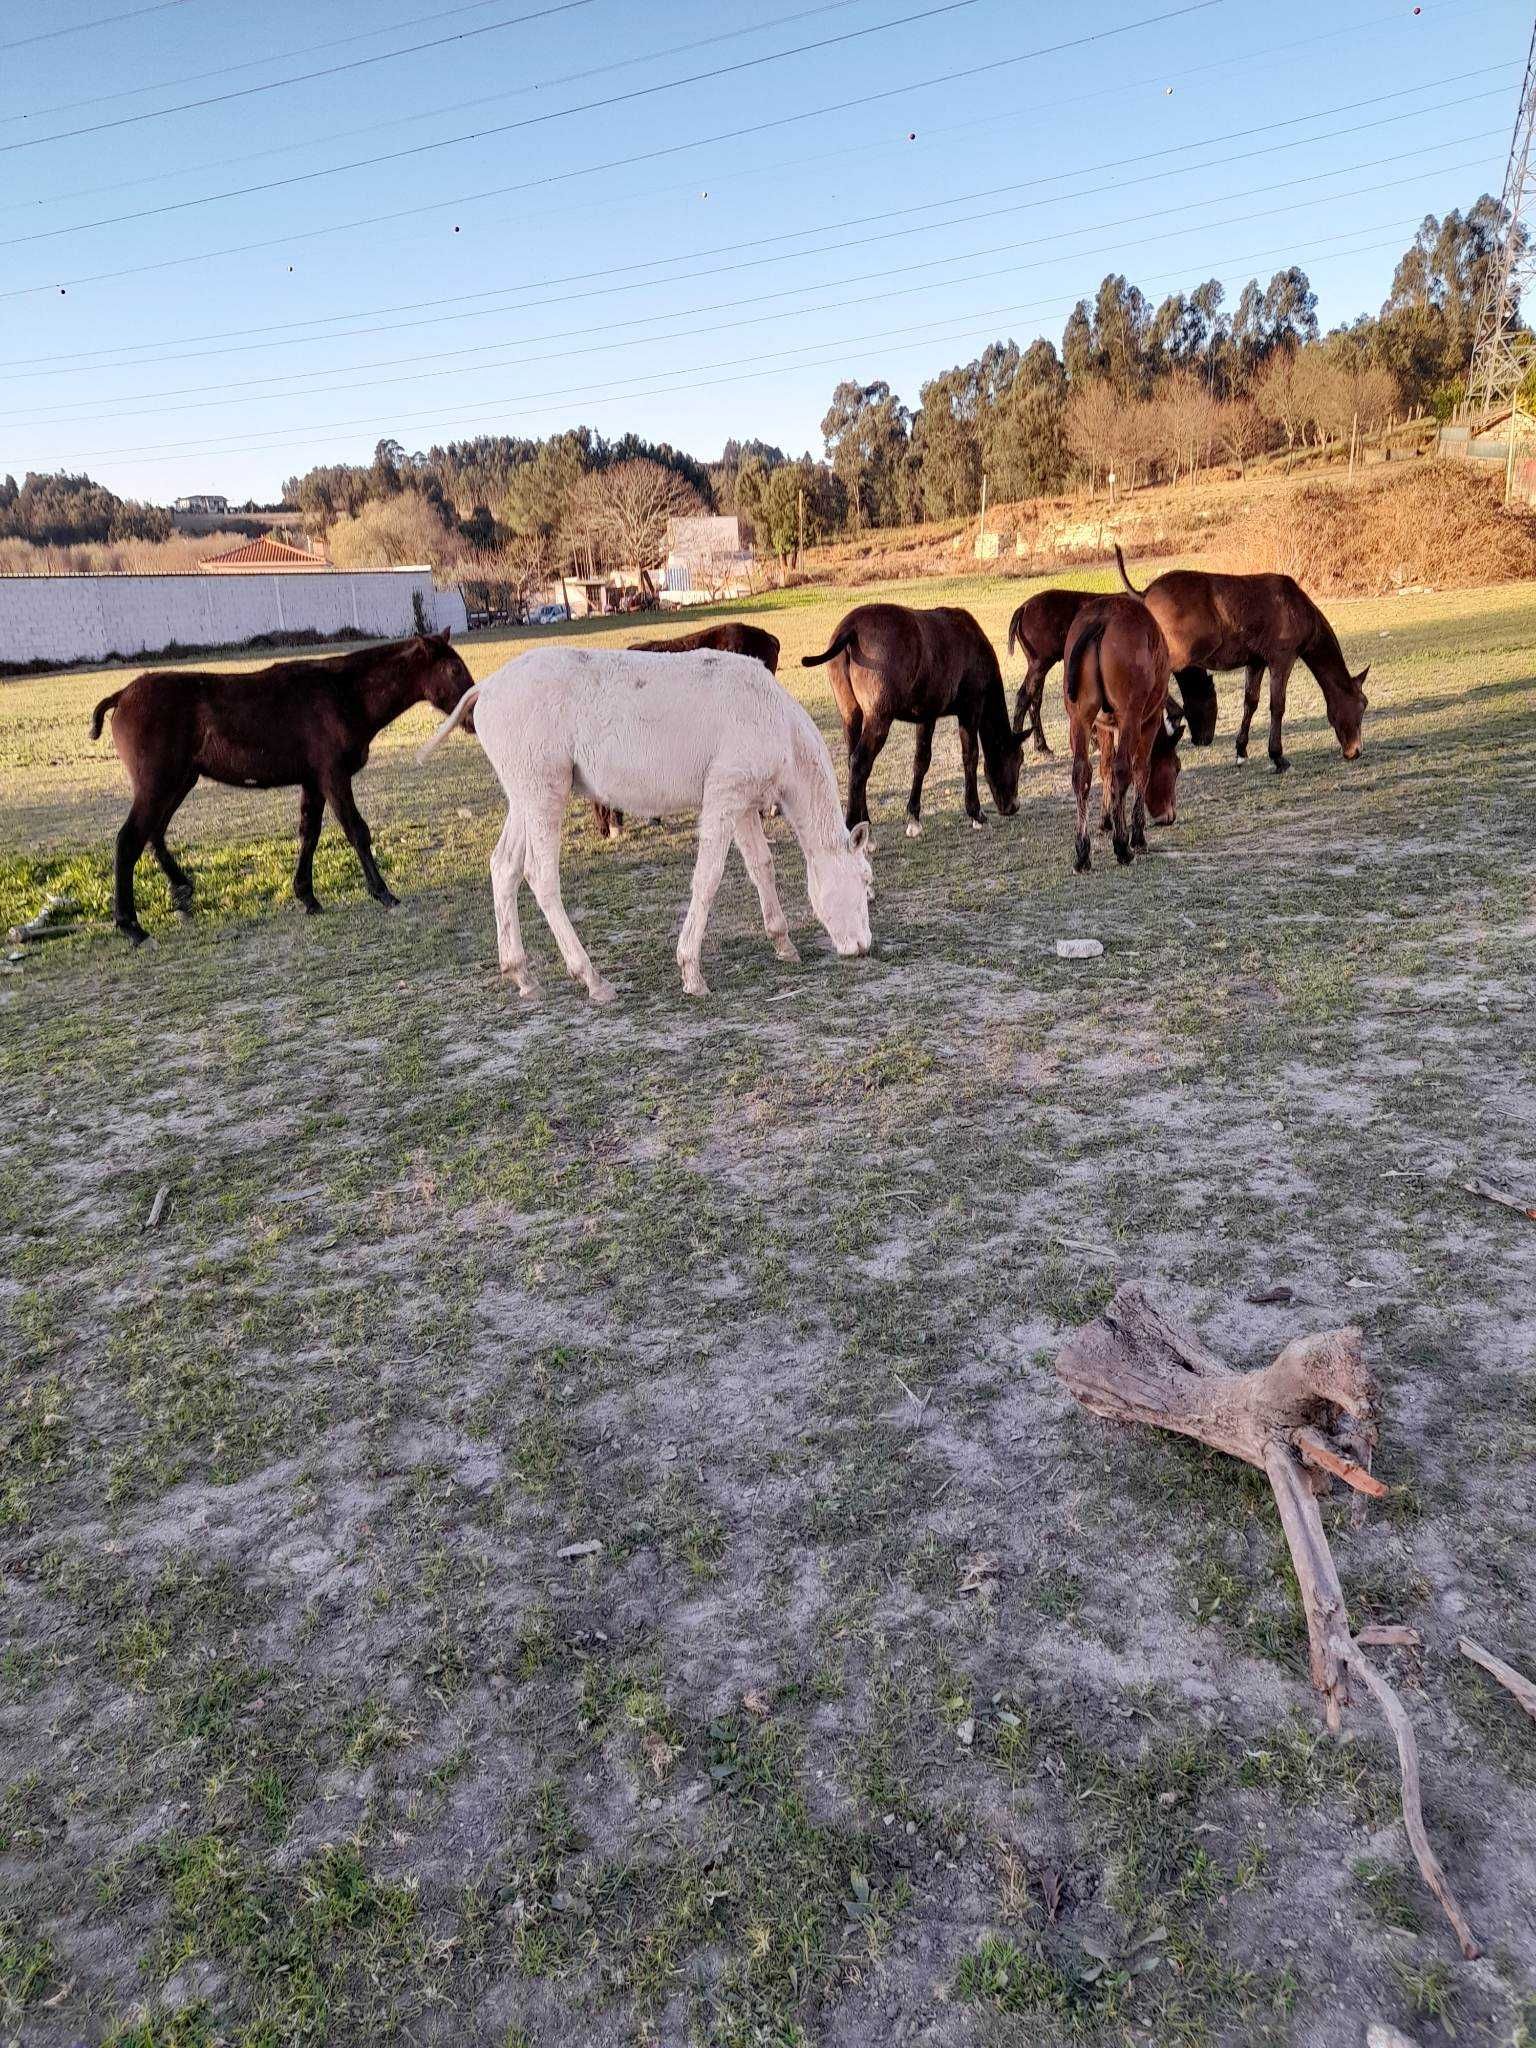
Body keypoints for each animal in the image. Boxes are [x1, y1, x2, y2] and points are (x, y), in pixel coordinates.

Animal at [90, 630, 473, 942]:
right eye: (454, 670)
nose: (472, 713)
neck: (342, 693)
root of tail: (122, 695)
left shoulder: (313, 781)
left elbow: (309, 833)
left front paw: (307, 896)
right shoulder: (333, 776)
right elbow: (356, 830)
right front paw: (383, 893)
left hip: (179, 782)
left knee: (154, 833)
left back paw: (181, 890)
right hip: (158, 784)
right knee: (128, 840)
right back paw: (131, 926)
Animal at [421, 647, 872, 999]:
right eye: (866, 880)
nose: (864, 946)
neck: (774, 721)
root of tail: (487, 687)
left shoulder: (743, 803)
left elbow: (761, 866)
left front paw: (783, 943)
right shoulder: (723, 795)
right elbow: (708, 878)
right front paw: (691, 971)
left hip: (523, 797)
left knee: (504, 867)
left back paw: (521, 974)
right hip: (544, 790)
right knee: (540, 875)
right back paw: (592, 979)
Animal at [806, 598, 1024, 839]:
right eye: (1018, 759)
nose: (1013, 806)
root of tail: (850, 629)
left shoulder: (927, 714)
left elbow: (921, 760)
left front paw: (914, 817)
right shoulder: (971, 707)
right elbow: (971, 755)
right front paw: (976, 813)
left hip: (850, 712)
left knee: (852, 760)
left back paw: (865, 824)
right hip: (879, 717)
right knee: (860, 762)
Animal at [1064, 598, 1187, 872]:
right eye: (1176, 768)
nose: (1169, 816)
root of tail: (1102, 618)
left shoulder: (1104, 726)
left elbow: (1104, 767)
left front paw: (1106, 820)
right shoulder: (1149, 720)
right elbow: (1141, 769)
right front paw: (1137, 835)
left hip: (1079, 717)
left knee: (1081, 772)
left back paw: (1082, 852)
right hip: (1131, 715)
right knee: (1123, 769)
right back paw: (1122, 846)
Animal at [1122, 544, 1368, 770]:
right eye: (1362, 705)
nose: (1355, 751)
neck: (1298, 609)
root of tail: (1146, 592)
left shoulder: (1255, 662)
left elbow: (1251, 702)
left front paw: (1241, 750)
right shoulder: (1282, 659)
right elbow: (1277, 705)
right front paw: (1277, 756)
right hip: (1181, 653)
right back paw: (1173, 715)